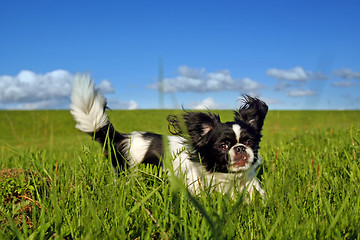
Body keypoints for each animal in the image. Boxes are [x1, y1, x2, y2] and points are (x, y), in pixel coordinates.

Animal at [70, 73, 268, 201]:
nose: (240, 148)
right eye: (224, 146)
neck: (226, 177)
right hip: (127, 173)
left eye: (249, 142)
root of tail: (122, 138)